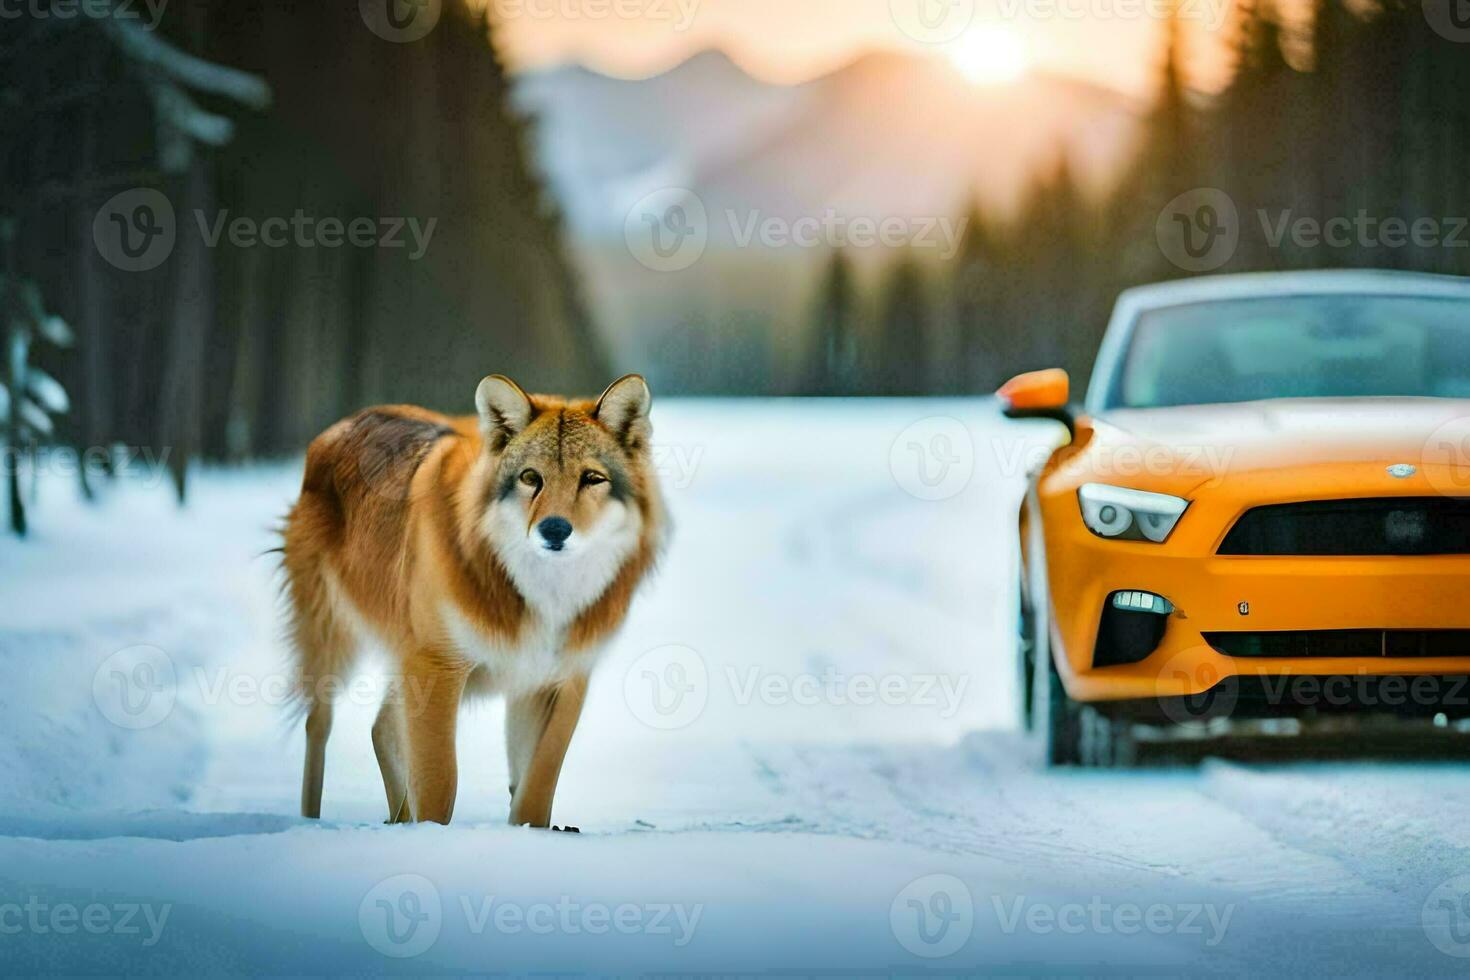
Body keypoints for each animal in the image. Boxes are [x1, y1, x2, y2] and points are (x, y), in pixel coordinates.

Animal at [279, 376, 667, 828]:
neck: (542, 596)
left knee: (380, 730)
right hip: (332, 645)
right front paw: (432, 835)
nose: (554, 529)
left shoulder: (558, 679)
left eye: (591, 478)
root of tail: (339, 426)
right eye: (530, 477)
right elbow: (440, 783)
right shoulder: (439, 667)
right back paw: (310, 824)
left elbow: (535, 790)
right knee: (318, 728)